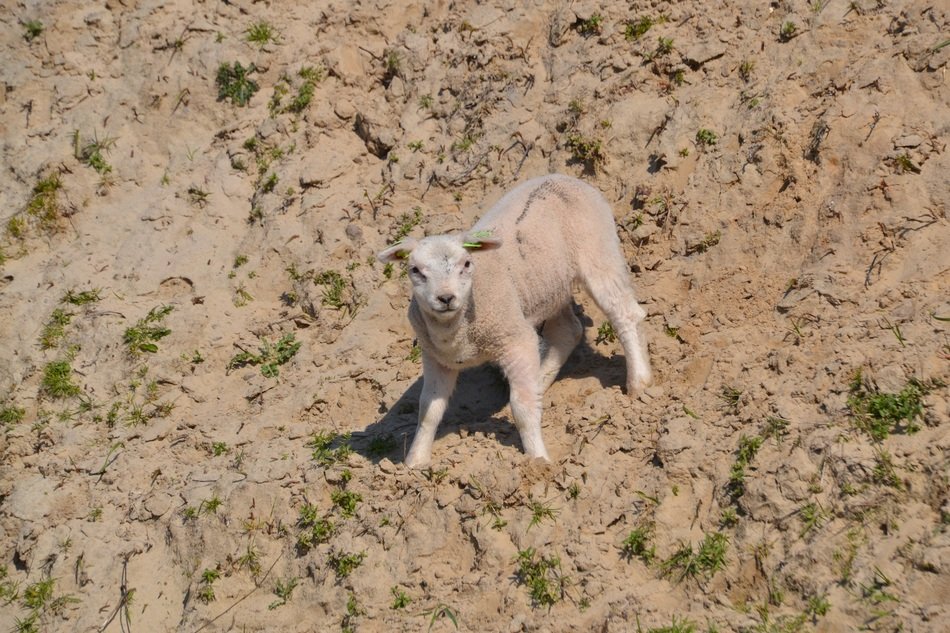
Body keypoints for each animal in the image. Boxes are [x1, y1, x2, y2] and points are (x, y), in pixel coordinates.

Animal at [377, 174, 652, 467]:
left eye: (466, 264)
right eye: (415, 270)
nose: (446, 298)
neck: (457, 331)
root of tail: (564, 177)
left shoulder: (515, 339)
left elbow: (522, 408)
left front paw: (537, 459)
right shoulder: (436, 358)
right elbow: (428, 410)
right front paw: (414, 463)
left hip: (598, 250)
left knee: (624, 314)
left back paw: (639, 383)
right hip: (548, 286)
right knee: (567, 330)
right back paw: (540, 383)